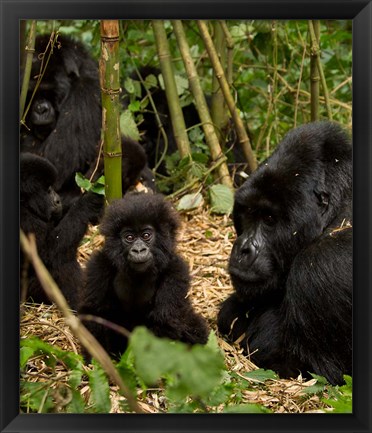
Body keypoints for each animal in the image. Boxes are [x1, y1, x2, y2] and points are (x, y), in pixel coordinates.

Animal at [21, 152, 104, 308]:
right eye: (48, 190)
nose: (58, 200)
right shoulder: (25, 222)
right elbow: (50, 254)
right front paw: (88, 202)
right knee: (60, 263)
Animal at [77, 192, 209, 358]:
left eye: (146, 235)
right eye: (129, 238)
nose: (138, 250)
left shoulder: (176, 271)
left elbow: (165, 319)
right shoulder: (99, 266)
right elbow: (94, 312)